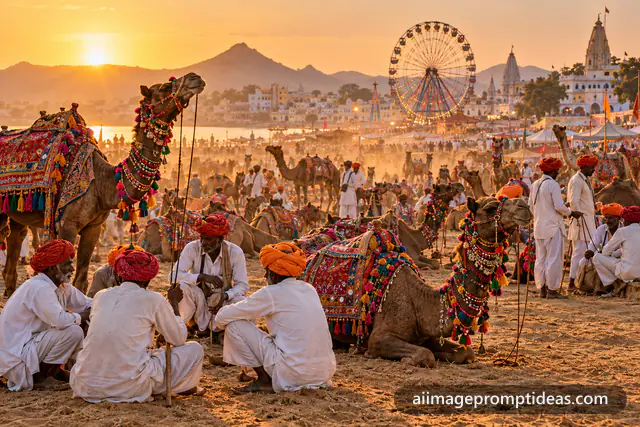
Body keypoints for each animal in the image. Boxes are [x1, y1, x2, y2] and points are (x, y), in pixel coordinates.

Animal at [1, 72, 205, 296]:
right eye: (165, 87)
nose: (195, 78)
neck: (101, 183)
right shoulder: (67, 224)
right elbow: (63, 276)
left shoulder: (94, 227)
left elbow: (81, 279)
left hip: (17, 213)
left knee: (14, 247)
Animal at [316, 196, 532, 366]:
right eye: (490, 208)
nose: (525, 205)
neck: (419, 300)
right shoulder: (378, 338)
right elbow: (424, 355)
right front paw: (404, 358)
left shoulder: (428, 335)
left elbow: (466, 352)